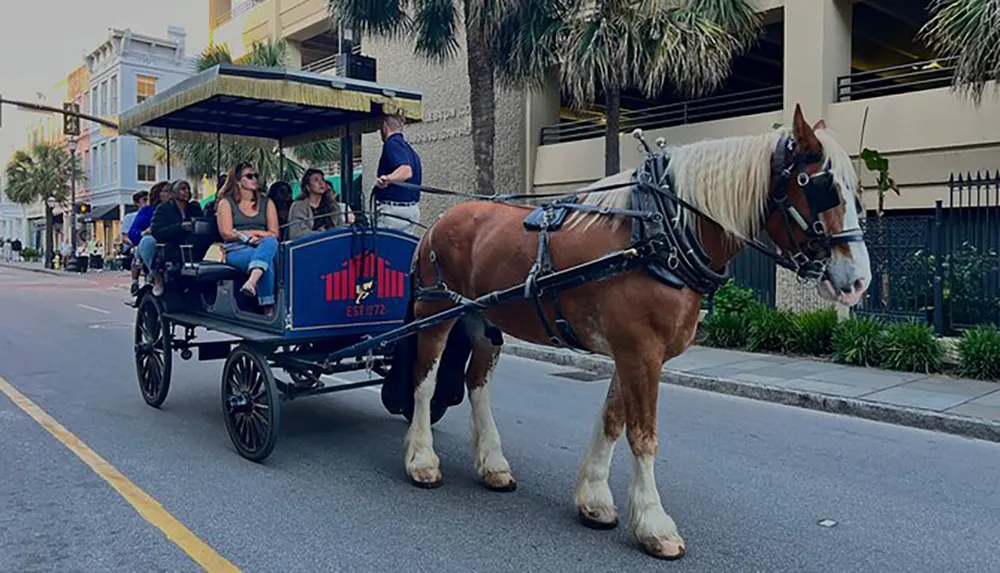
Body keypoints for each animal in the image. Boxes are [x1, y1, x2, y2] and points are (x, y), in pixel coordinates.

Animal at [402, 104, 872, 560]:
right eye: (823, 188)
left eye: (856, 194)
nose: (859, 281)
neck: (660, 234)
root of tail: (443, 221)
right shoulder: (640, 352)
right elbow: (643, 436)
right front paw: (653, 524)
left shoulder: (632, 352)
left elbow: (612, 421)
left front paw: (594, 499)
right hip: (435, 310)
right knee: (423, 381)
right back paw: (422, 459)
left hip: (483, 320)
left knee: (477, 383)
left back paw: (493, 464)